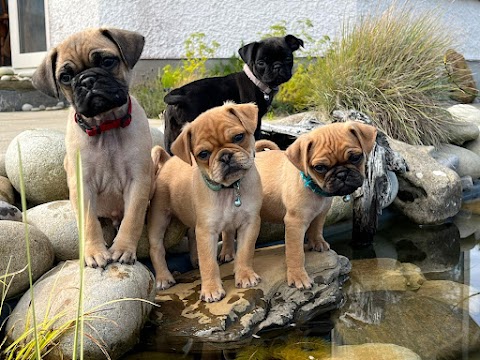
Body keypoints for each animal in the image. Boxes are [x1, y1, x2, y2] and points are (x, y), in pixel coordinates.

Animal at [149, 102, 262, 302]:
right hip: (159, 218)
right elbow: (208, 262)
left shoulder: (250, 223)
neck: (229, 189)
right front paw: (211, 289)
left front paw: (245, 275)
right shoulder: (207, 231)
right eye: (203, 154)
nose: (225, 156)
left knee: (199, 236)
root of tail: (167, 161)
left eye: (238, 137)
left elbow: (245, 252)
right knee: (156, 247)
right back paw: (163, 278)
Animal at [163, 33, 302, 152]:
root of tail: (178, 94)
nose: (277, 66)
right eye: (261, 63)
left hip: (171, 133)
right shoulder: (254, 121)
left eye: (288, 59)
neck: (256, 81)